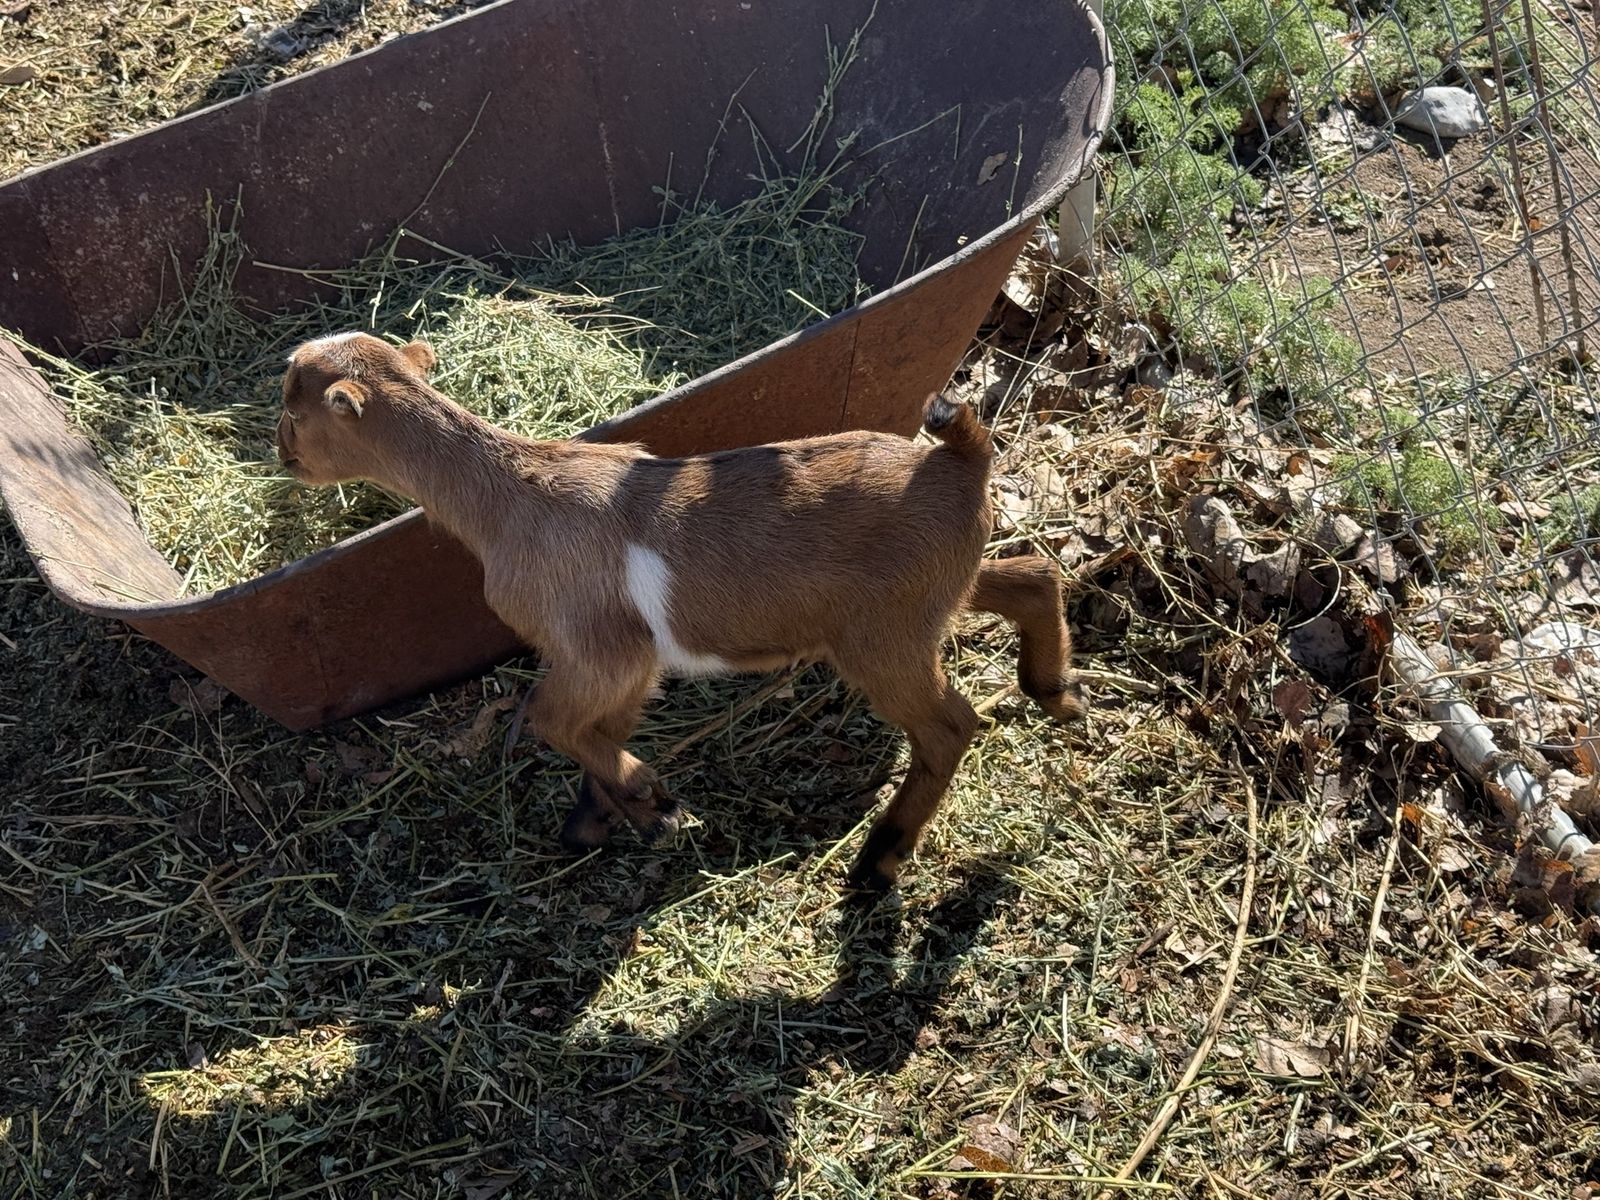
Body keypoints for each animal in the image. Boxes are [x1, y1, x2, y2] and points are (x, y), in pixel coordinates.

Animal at [276, 332, 1084, 890]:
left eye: (293, 409)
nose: (281, 457)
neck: (510, 498)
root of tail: (959, 460)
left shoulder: (599, 648)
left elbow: (552, 719)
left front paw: (647, 799)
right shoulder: (621, 663)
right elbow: (597, 729)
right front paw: (606, 816)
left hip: (884, 637)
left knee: (949, 726)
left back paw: (879, 859)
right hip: (931, 592)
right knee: (1032, 574)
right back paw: (1056, 691)